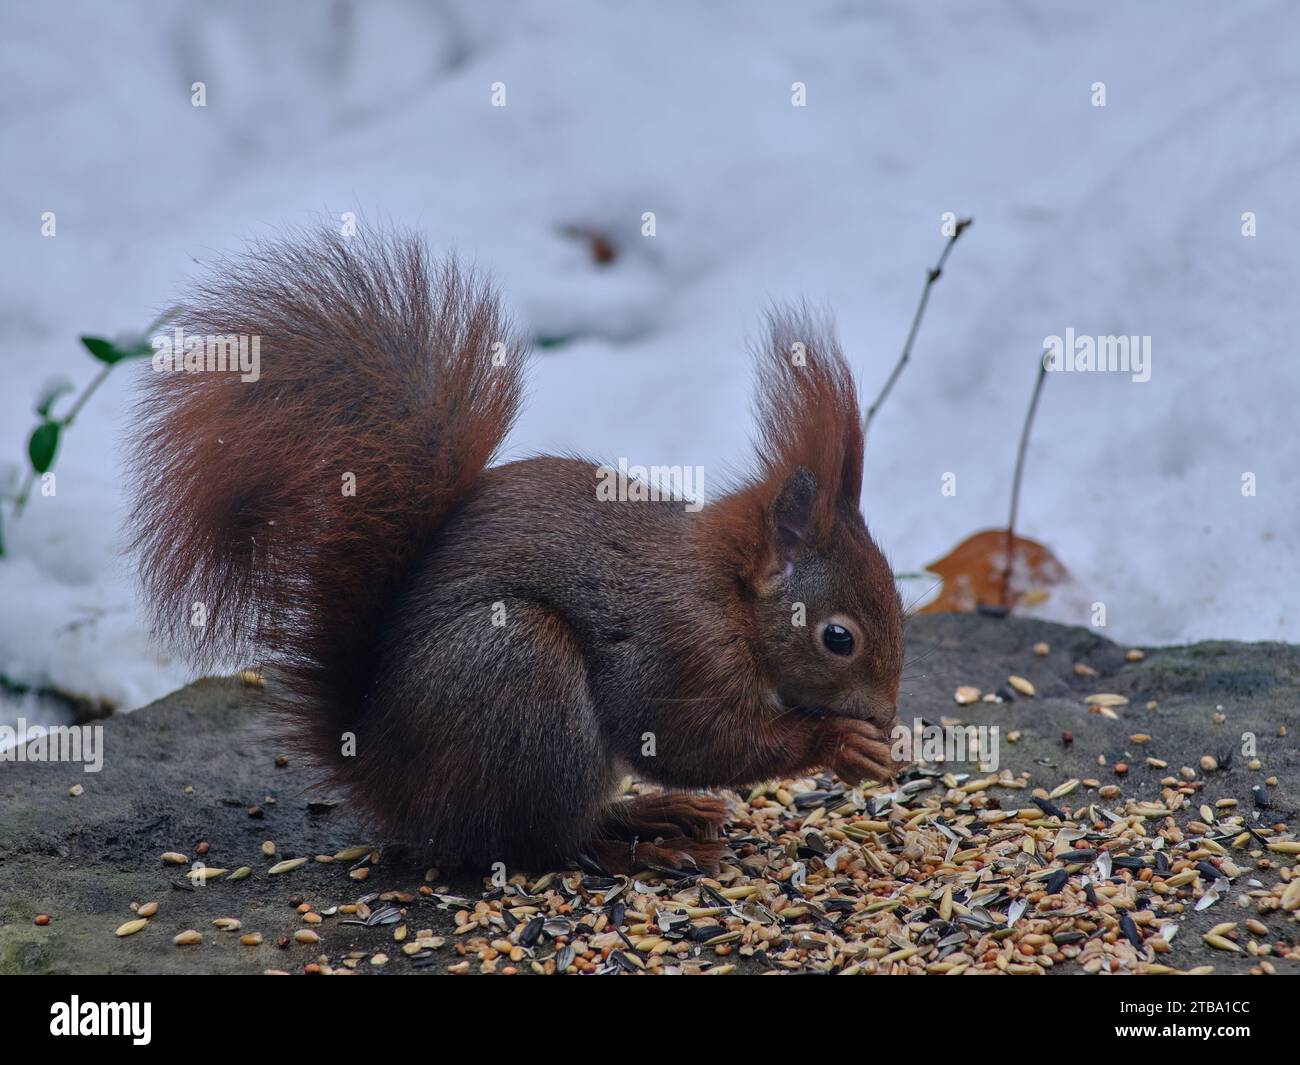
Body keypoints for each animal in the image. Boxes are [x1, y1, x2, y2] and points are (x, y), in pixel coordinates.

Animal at [131, 228, 904, 868]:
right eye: (839, 638)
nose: (888, 717)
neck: (729, 595)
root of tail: (385, 774)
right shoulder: (680, 649)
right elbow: (695, 737)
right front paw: (840, 744)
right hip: (524, 678)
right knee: (545, 844)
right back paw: (642, 846)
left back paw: (651, 815)